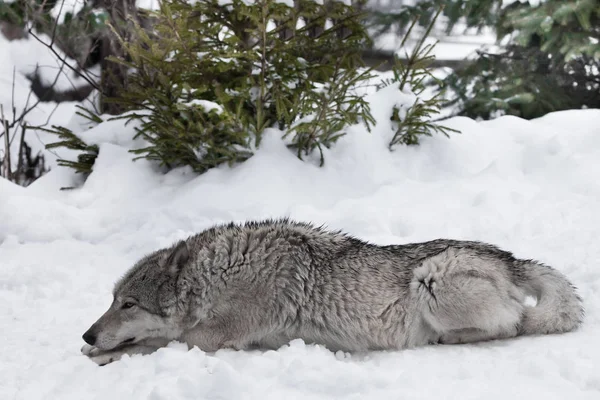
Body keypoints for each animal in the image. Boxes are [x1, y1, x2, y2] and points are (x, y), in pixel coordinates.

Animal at [82, 219, 584, 366]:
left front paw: (105, 356)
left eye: (129, 304)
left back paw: (449, 338)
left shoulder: (210, 339)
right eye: (111, 300)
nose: (88, 334)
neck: (220, 274)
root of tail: (508, 256)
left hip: (432, 279)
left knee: (514, 323)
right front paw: (97, 351)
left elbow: (155, 342)